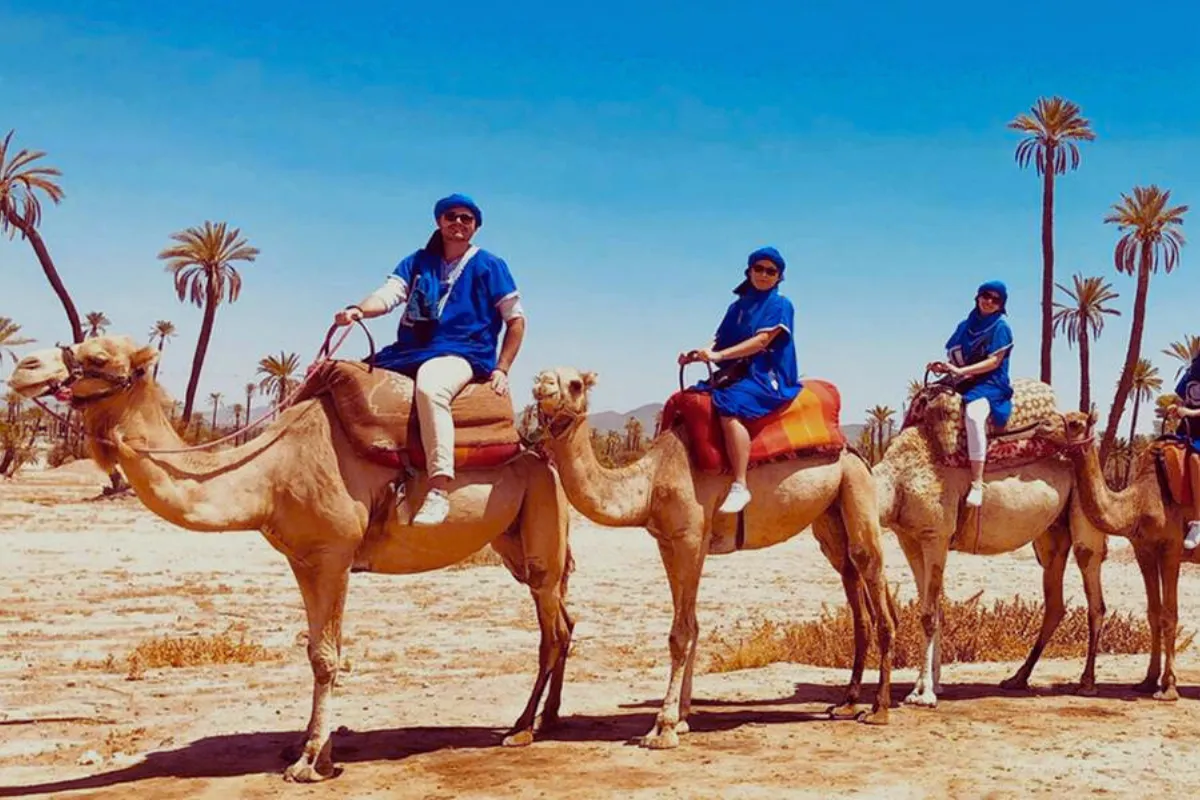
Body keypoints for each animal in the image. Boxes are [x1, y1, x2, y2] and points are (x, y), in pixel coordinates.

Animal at [7, 335, 575, 783]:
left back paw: (521, 729)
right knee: (562, 622)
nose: (23, 366)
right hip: (512, 540)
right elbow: (314, 651)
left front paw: (311, 762)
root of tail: (534, 447)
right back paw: (546, 720)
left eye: (98, 356)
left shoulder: (334, 555)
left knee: (550, 629)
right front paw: (306, 746)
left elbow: (327, 657)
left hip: (542, 518)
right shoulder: (302, 560)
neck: (269, 474)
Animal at [532, 367, 895, 749]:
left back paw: (879, 709)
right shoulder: (669, 543)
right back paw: (847, 702)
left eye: (575, 384)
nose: (542, 384)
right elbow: (692, 624)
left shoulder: (690, 539)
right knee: (850, 574)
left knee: (869, 565)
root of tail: (852, 449)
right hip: (830, 513)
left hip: (857, 486)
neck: (650, 484)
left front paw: (663, 728)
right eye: (543, 375)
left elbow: (680, 632)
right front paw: (683, 719)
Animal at [876, 382, 1108, 708]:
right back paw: (1017, 679)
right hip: (1050, 536)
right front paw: (930, 684)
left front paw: (924, 694)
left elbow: (928, 614)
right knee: (1055, 601)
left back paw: (1086, 684)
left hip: (1086, 516)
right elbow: (933, 608)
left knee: (1094, 590)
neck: (897, 481)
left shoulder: (936, 535)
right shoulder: (909, 538)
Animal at [1039, 409, 1198, 701]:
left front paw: (1169, 687)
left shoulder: (1171, 549)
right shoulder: (1143, 550)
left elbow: (1170, 613)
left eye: (1075, 423)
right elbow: (1154, 613)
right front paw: (1147, 681)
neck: (1138, 504)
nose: (1042, 425)